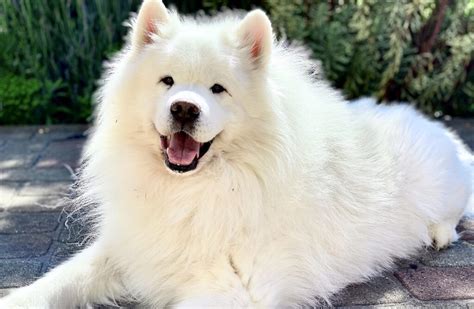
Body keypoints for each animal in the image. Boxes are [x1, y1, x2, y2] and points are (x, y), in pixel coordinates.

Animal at [1, 1, 472, 306]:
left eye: (217, 89)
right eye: (167, 81)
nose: (184, 109)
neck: (192, 190)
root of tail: (438, 127)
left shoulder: (235, 286)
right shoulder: (131, 247)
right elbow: (58, 280)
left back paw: (438, 233)